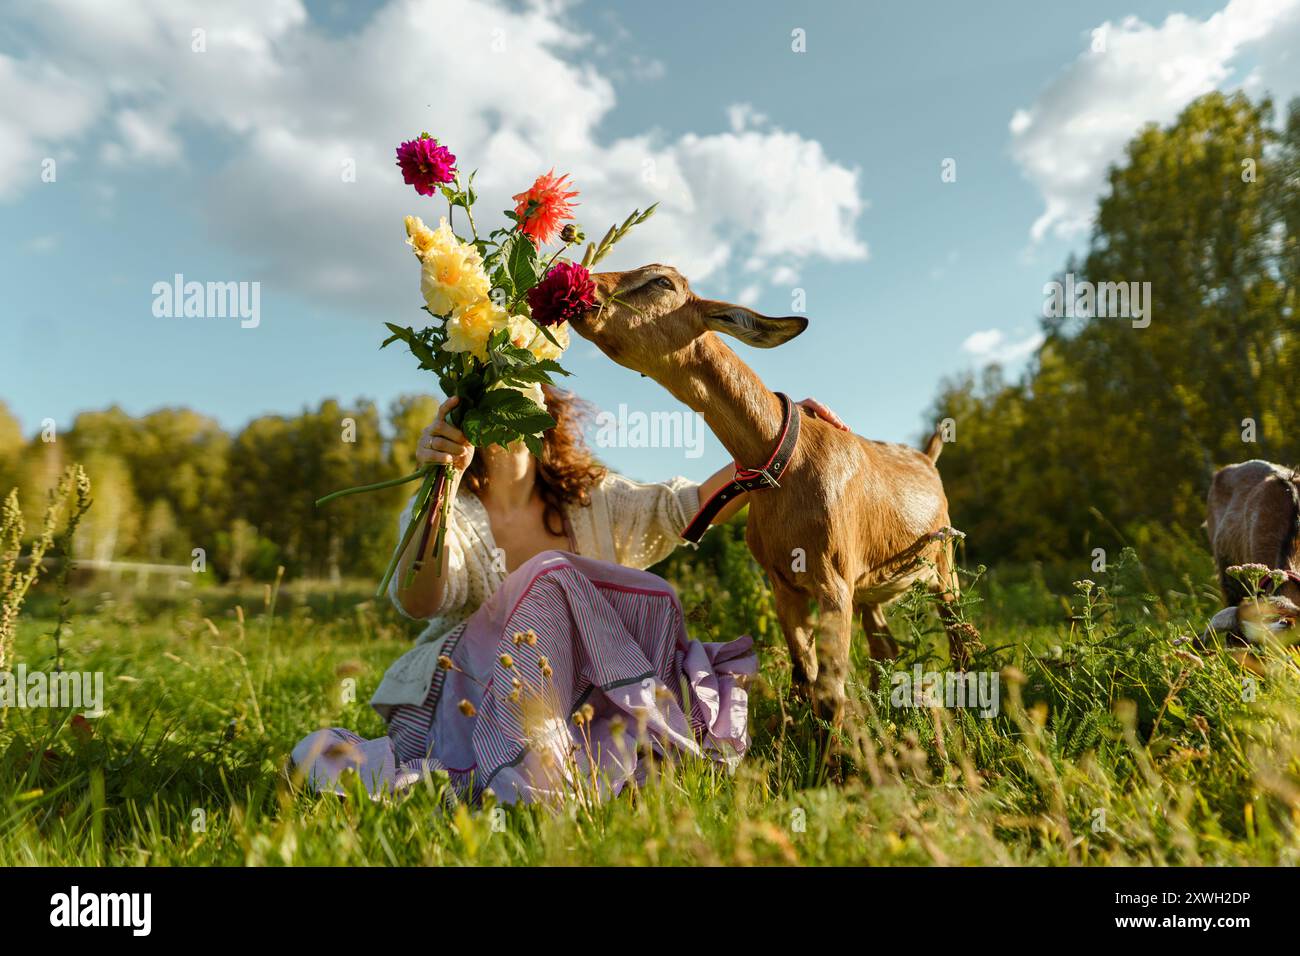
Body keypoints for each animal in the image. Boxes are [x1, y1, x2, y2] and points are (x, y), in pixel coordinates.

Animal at [574, 265, 977, 723]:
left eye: (662, 281)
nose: (586, 288)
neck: (784, 462)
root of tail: (928, 458)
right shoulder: (785, 587)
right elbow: (804, 680)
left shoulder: (834, 584)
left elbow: (829, 693)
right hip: (871, 586)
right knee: (884, 648)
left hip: (943, 565)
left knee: (961, 635)